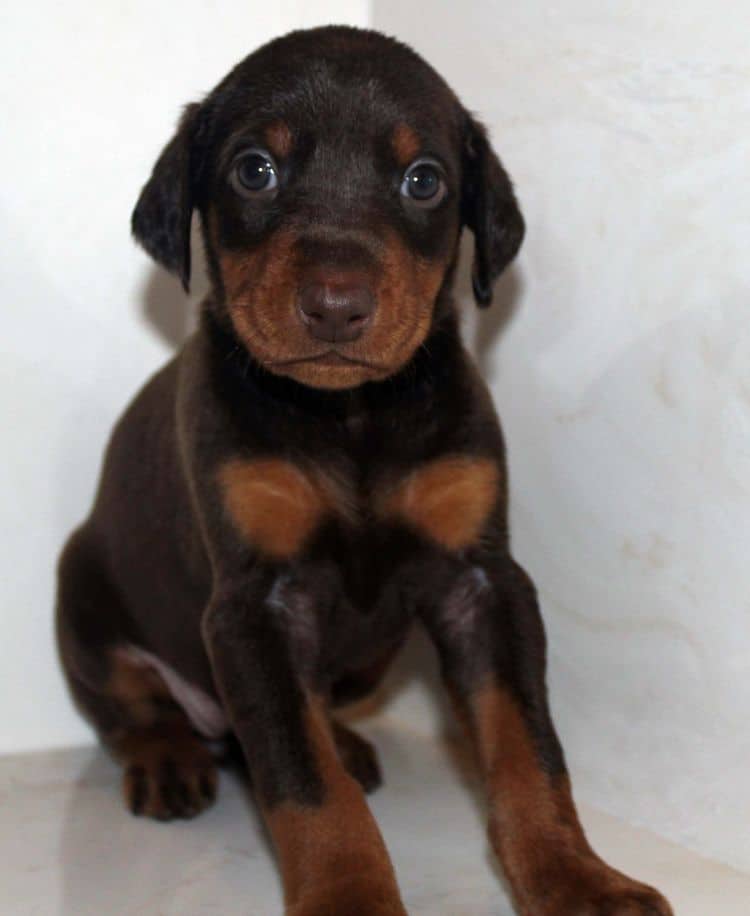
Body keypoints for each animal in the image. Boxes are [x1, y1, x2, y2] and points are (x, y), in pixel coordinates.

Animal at [55, 25, 672, 912]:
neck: (351, 416)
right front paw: (350, 895)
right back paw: (167, 755)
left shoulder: (482, 583)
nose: (337, 305)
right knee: (134, 706)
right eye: (254, 169)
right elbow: (305, 784)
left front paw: (576, 876)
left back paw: (341, 740)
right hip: (83, 591)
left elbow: (529, 748)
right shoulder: (254, 606)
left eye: (424, 180)